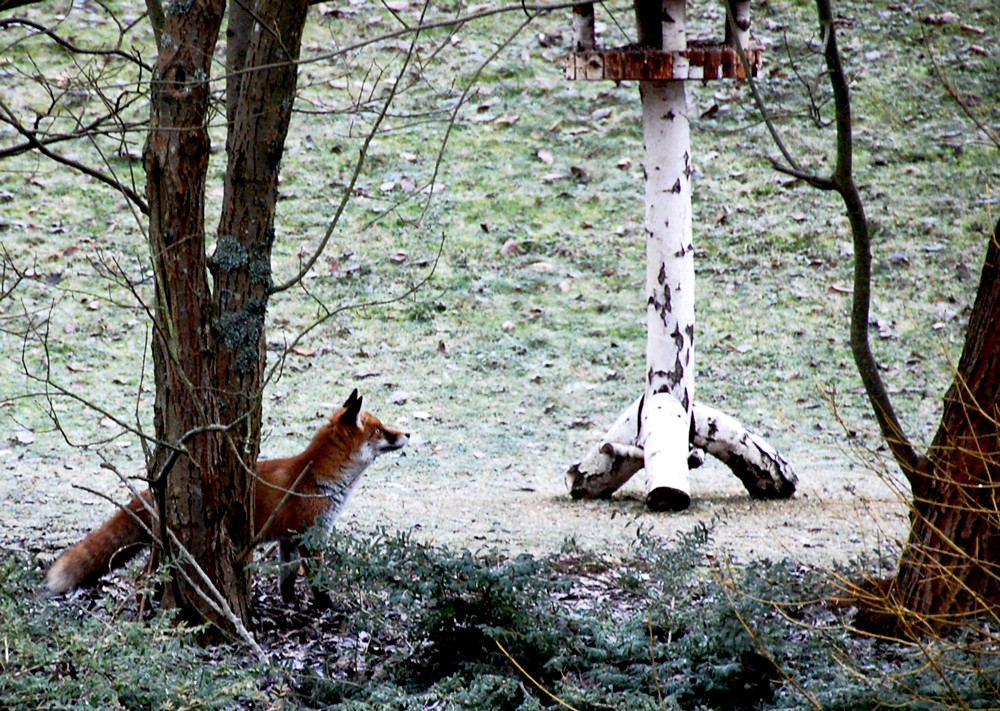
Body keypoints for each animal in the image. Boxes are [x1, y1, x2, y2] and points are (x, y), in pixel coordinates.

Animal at [47, 390, 406, 608]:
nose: (408, 434)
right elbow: (317, 581)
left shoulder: (288, 540)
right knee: (141, 578)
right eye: (379, 430)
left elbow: (287, 579)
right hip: (165, 552)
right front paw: (326, 607)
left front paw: (289, 604)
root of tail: (155, 487)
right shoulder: (309, 537)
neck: (319, 478)